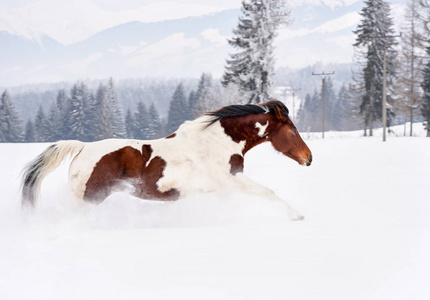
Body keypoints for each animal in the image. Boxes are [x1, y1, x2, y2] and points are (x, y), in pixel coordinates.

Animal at [21, 101, 312, 220]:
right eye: (293, 131)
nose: (309, 158)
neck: (217, 141)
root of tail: (82, 148)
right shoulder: (232, 180)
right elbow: (268, 192)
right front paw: (296, 215)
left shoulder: (222, 188)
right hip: (88, 199)